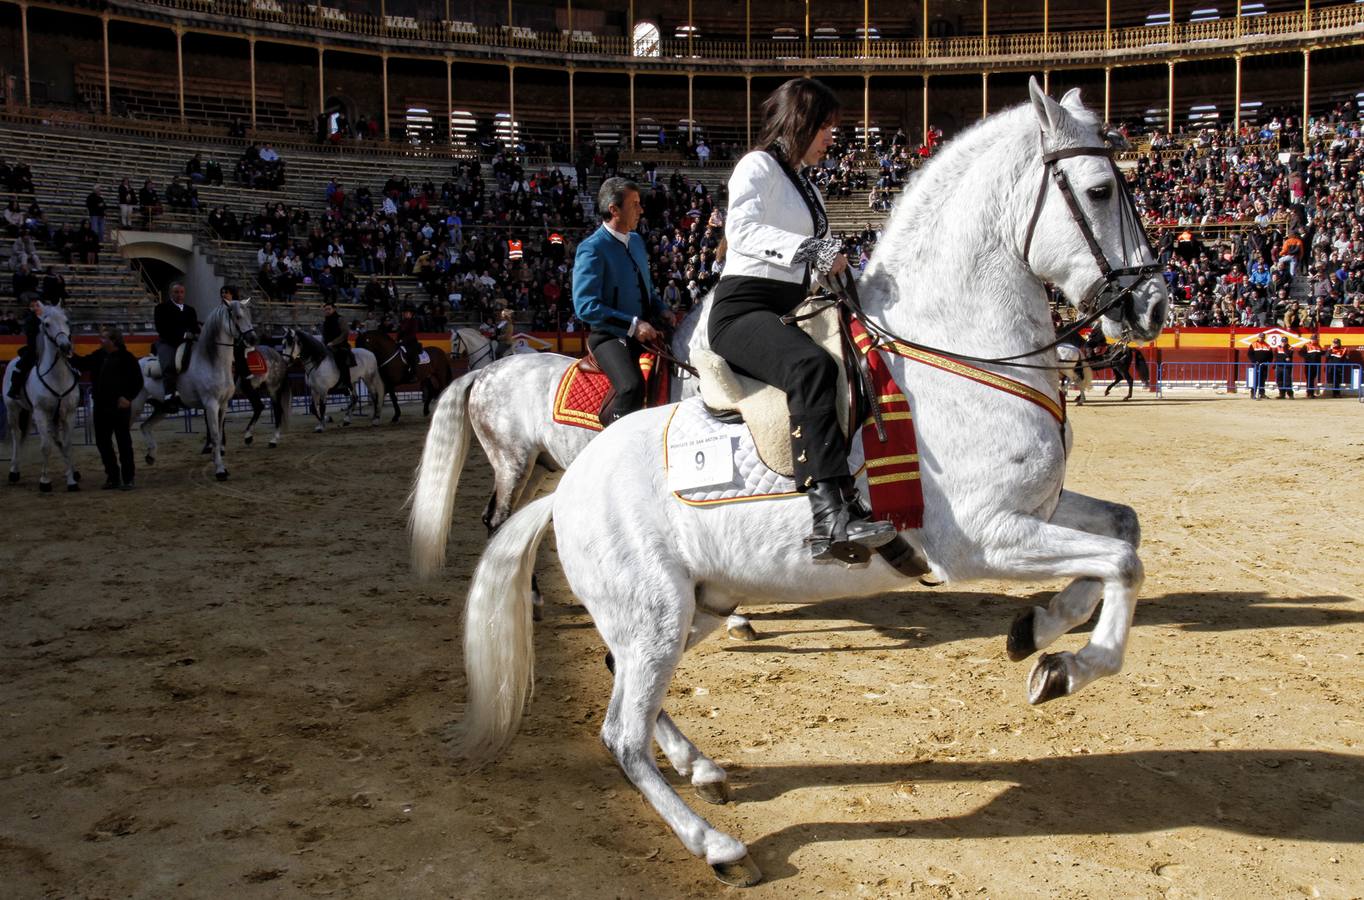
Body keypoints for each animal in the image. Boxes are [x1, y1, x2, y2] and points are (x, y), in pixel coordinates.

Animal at [2, 300, 82, 490]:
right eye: (46, 324)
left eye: (67, 321)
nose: (65, 346)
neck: (57, 377)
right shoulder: (40, 413)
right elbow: (45, 446)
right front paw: (45, 481)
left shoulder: (69, 413)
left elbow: (67, 445)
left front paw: (71, 480)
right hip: (13, 410)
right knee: (17, 435)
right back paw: (14, 471)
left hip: (49, 416)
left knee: (55, 440)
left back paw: (72, 471)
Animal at [137, 298, 259, 482]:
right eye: (237, 316)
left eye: (250, 315)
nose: (252, 339)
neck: (211, 361)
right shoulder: (211, 405)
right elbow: (214, 435)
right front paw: (220, 470)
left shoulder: (223, 405)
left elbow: (219, 434)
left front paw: (219, 462)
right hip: (134, 407)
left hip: (161, 408)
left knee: (145, 426)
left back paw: (150, 456)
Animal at [411, 82, 1173, 883]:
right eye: (1100, 188)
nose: (1154, 306)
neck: (953, 350)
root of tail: (569, 491)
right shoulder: (984, 540)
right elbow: (1124, 563)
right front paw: (1069, 665)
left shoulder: (1040, 508)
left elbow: (1123, 532)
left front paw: (1039, 633)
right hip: (647, 607)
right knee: (620, 733)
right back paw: (717, 844)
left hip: (686, 609)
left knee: (631, 694)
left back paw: (702, 766)